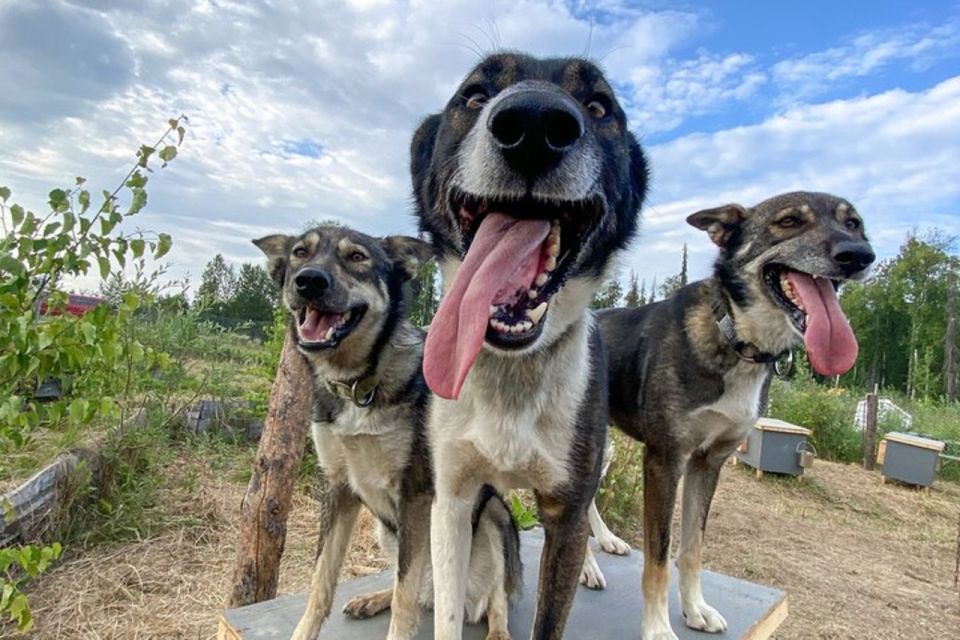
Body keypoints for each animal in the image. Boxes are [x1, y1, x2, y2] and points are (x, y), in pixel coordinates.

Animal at [255, 226, 520, 640]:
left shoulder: (415, 493)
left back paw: (497, 631)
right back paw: (373, 599)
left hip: (493, 515)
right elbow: (322, 580)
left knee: (495, 599)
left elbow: (405, 596)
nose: (309, 281)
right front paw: (303, 633)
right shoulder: (339, 489)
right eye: (300, 253)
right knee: (418, 590)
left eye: (357, 257)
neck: (357, 384)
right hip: (388, 531)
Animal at [408, 53, 648, 640]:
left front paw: (589, 558)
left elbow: (552, 608)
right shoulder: (452, 501)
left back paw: (597, 554)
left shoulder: (565, 507)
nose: (534, 124)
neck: (510, 368)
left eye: (599, 106)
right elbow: (448, 610)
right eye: (473, 95)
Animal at [600, 192, 876, 636]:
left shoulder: (708, 462)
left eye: (853, 223)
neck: (737, 340)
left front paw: (695, 608)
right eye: (789, 222)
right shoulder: (665, 460)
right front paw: (657, 627)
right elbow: (658, 557)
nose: (859, 255)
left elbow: (692, 547)